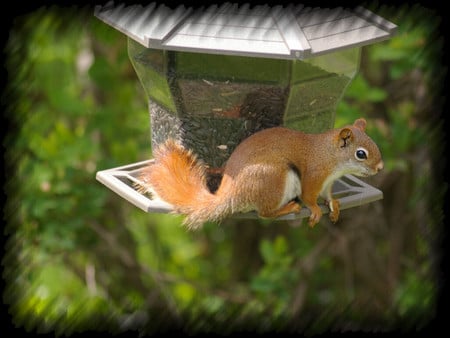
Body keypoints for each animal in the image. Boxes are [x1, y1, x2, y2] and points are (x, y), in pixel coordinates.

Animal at [138, 117, 384, 228]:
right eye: (361, 154)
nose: (380, 168)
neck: (329, 156)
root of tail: (231, 195)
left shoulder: (327, 183)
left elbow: (329, 196)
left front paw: (335, 206)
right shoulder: (314, 175)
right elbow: (309, 196)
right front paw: (314, 210)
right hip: (274, 178)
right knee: (264, 213)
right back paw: (289, 207)